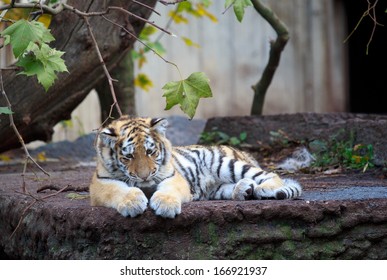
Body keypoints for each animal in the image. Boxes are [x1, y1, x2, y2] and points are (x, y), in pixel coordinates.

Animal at [90, 116, 304, 219]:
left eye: (150, 152)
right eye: (128, 156)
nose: (144, 176)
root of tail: (244, 153)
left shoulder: (173, 177)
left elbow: (168, 190)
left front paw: (166, 206)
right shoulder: (101, 183)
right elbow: (119, 190)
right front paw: (132, 203)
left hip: (224, 162)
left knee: (269, 174)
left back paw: (265, 188)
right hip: (215, 189)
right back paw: (245, 189)